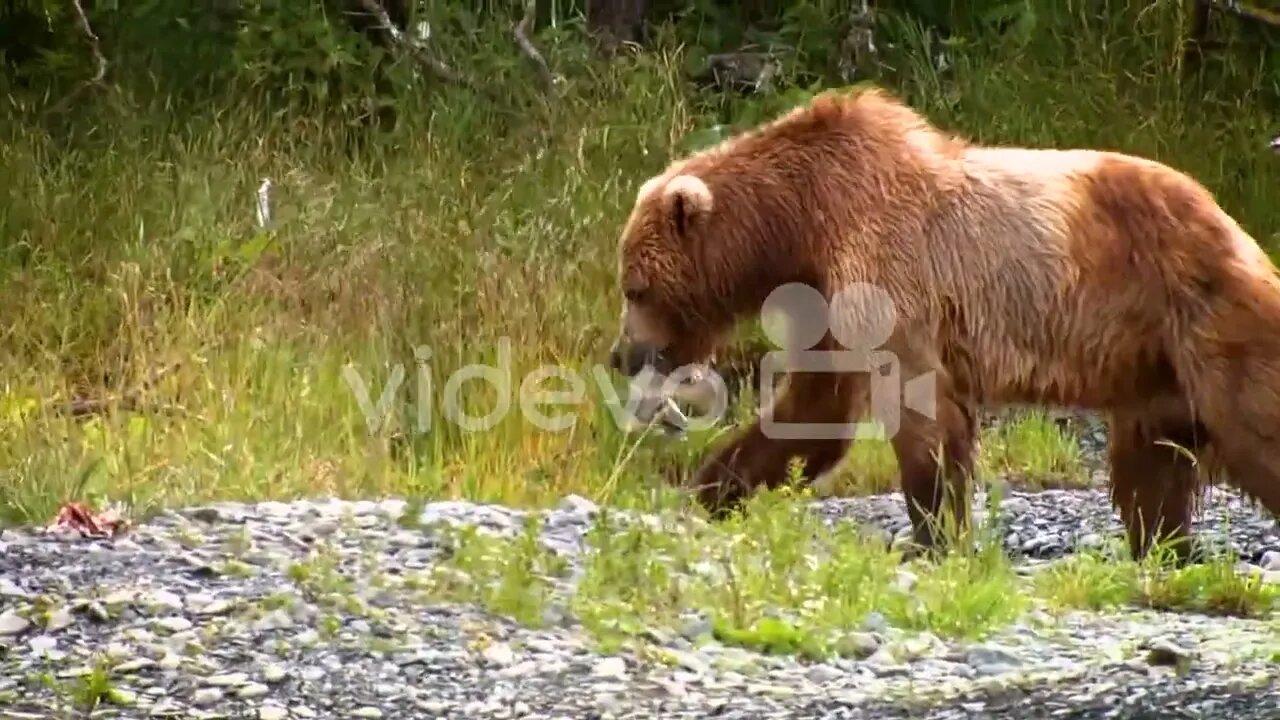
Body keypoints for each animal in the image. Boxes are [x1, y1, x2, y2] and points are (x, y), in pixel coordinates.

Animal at [604, 83, 1280, 563]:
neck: (800, 223)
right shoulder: (826, 294)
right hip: (1151, 363)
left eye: (635, 287)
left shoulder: (886, 266)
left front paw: (930, 536)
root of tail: (1229, 222)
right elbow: (816, 407)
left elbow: (914, 400)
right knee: (1152, 462)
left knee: (1250, 421)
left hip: (1198, 313)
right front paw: (709, 490)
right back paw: (1163, 548)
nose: (622, 353)